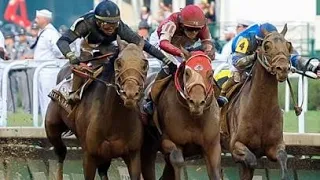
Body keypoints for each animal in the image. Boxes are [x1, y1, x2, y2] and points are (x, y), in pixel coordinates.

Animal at [45, 37, 149, 179]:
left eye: (144, 64)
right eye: (119, 63)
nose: (130, 94)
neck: (114, 122)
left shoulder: (133, 155)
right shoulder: (89, 156)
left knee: (102, 171)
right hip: (52, 128)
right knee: (61, 153)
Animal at [141, 49, 221, 180]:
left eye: (210, 74)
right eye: (187, 73)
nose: (196, 102)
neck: (193, 118)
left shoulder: (212, 145)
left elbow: (215, 172)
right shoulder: (168, 140)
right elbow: (177, 160)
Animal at [222, 24, 292, 179]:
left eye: (288, 45)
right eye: (267, 45)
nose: (283, 68)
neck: (262, 109)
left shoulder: (275, 146)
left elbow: (283, 159)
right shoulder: (235, 145)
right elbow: (251, 161)